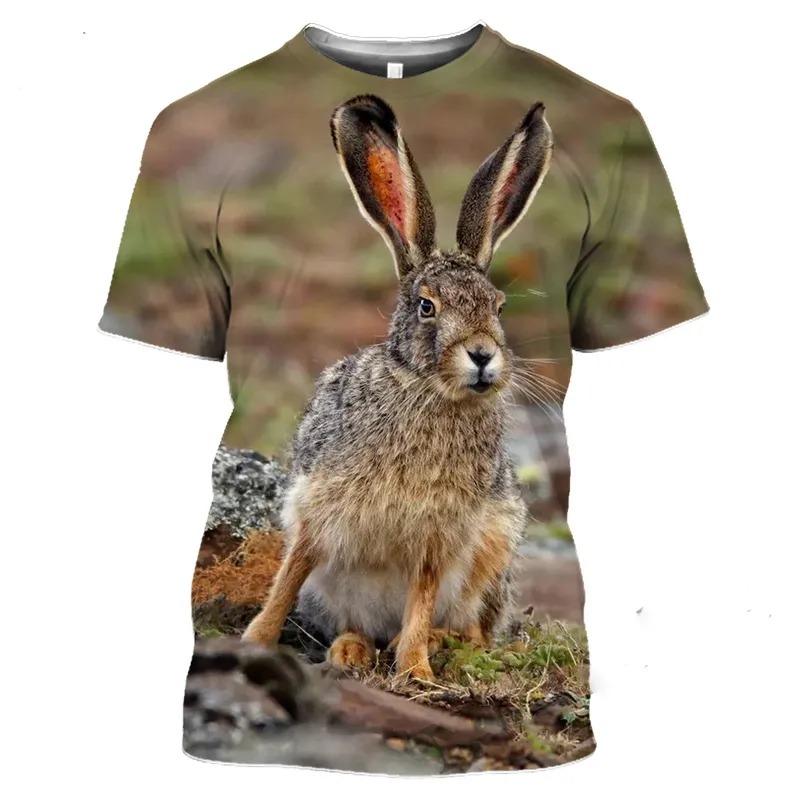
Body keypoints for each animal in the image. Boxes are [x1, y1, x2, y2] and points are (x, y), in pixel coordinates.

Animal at [243, 94, 553, 681]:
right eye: (426, 306)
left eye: (498, 308)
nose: (483, 355)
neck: (427, 390)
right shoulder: (319, 509)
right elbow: (292, 571)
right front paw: (256, 639)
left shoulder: (439, 535)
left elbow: (422, 597)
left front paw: (417, 671)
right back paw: (350, 650)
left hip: (496, 549)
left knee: (476, 627)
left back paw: (442, 643)